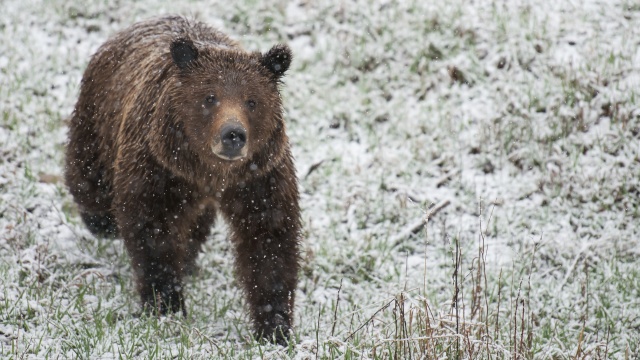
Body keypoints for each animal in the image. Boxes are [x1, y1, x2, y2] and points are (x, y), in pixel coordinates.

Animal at [65, 15, 302, 344]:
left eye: (252, 101)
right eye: (210, 97)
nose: (233, 135)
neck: (209, 171)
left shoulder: (259, 176)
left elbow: (269, 238)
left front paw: (274, 326)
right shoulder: (158, 166)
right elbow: (151, 228)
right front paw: (166, 303)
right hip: (98, 119)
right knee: (88, 179)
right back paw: (102, 220)